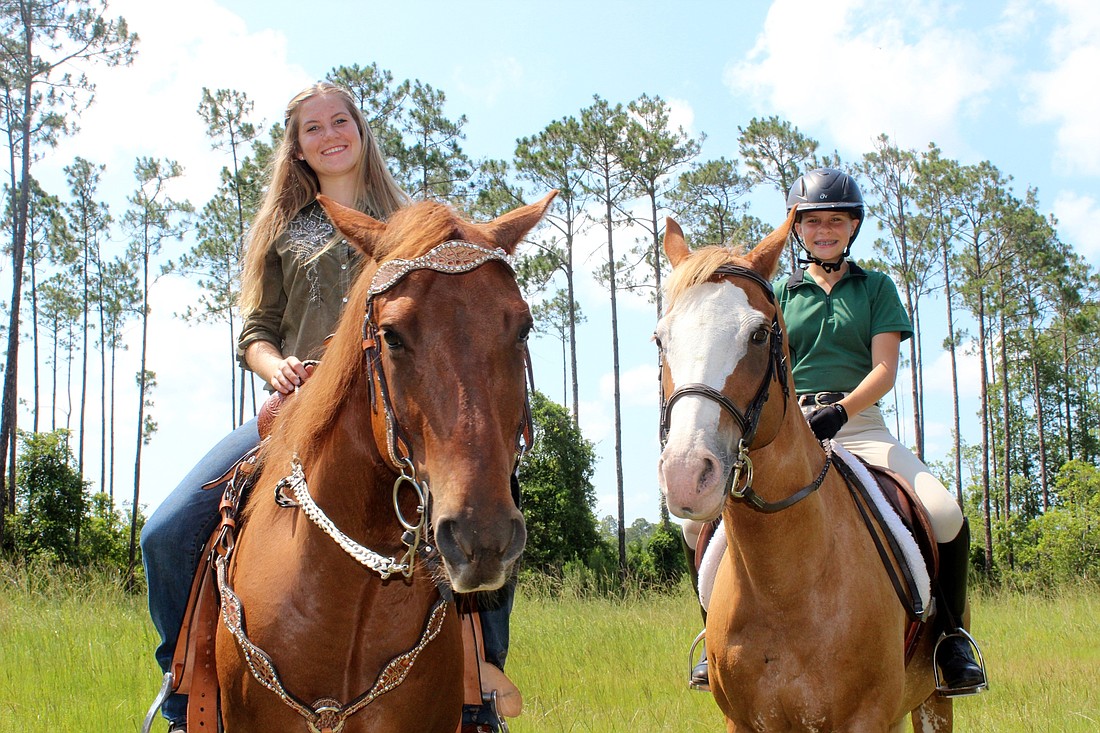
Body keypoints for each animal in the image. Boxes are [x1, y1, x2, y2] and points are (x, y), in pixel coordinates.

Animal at [651, 208, 954, 726]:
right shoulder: (743, 722)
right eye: (660, 338)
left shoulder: (866, 719)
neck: (784, 584)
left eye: (758, 334)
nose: (687, 476)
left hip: (932, 700)